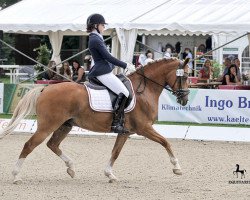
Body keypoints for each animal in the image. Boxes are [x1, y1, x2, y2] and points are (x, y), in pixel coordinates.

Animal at [0, 57, 189, 184]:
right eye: (186, 77)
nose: (185, 100)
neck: (144, 90)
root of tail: (45, 88)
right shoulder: (144, 128)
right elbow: (165, 142)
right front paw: (177, 168)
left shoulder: (125, 132)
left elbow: (115, 152)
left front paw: (110, 174)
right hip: (47, 126)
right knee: (29, 145)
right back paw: (16, 176)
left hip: (65, 125)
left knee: (52, 144)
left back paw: (71, 168)